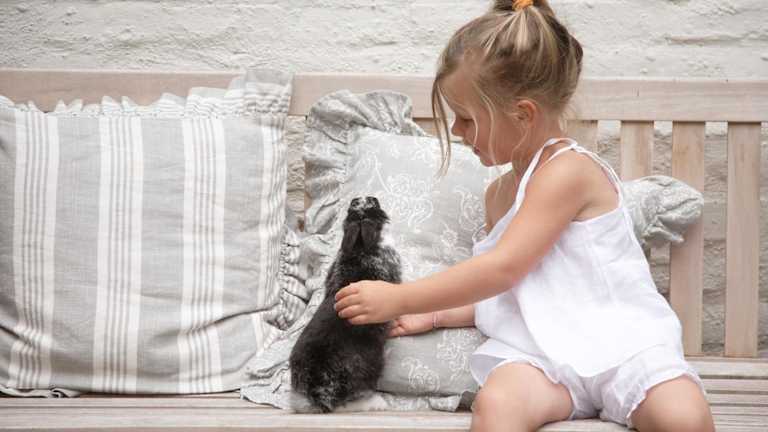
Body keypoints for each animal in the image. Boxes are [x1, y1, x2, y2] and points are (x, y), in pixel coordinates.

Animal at [289, 196, 402, 413]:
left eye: (350, 212)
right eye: (375, 208)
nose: (368, 197)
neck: (360, 249)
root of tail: (320, 390)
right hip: (369, 371)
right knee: (349, 404)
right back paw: (379, 403)